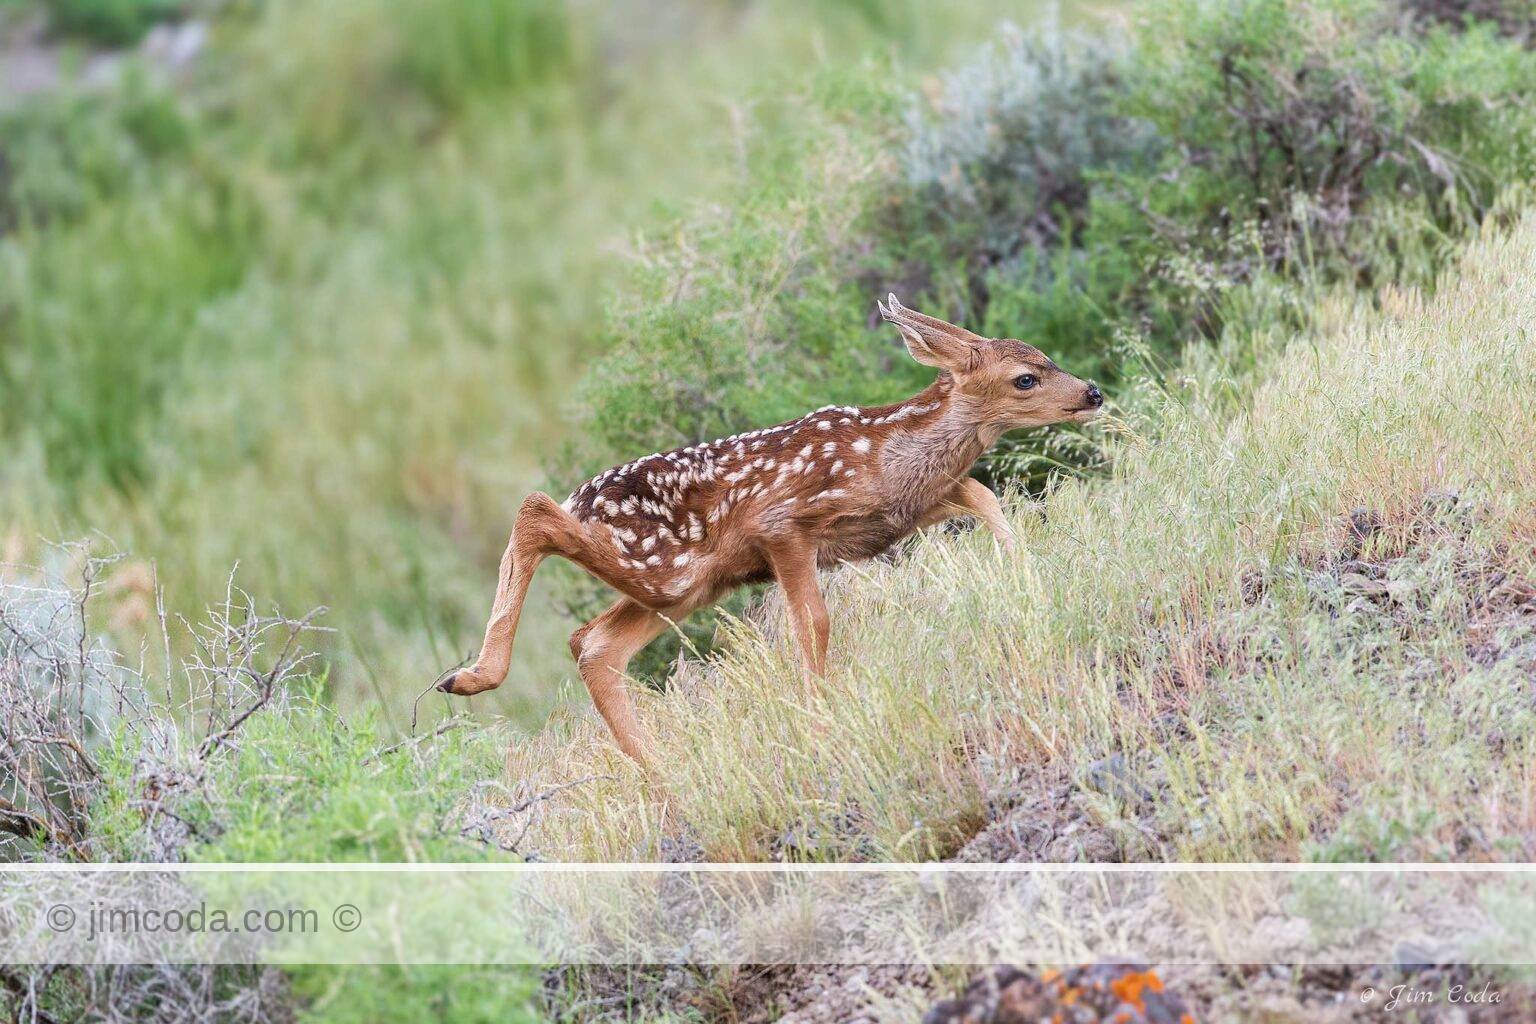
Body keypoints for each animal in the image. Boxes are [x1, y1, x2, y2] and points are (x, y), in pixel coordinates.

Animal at [437, 295, 1103, 763]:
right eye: (1025, 377)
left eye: (1046, 356)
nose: (1093, 392)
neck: (891, 453)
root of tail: (585, 498)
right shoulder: (784, 525)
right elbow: (814, 621)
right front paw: (817, 710)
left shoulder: (911, 507)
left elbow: (986, 498)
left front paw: (1022, 574)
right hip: (663, 567)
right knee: (533, 512)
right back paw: (469, 676)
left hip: (684, 589)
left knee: (594, 645)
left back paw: (660, 770)